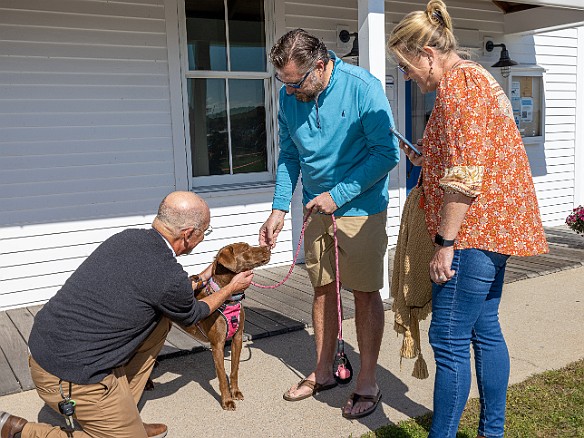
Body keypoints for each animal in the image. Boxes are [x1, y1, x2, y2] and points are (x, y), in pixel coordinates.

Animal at [181, 243, 270, 410]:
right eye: (246, 248)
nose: (268, 246)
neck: (230, 299)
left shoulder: (238, 338)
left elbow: (234, 369)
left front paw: (235, 392)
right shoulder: (217, 345)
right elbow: (222, 375)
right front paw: (227, 400)